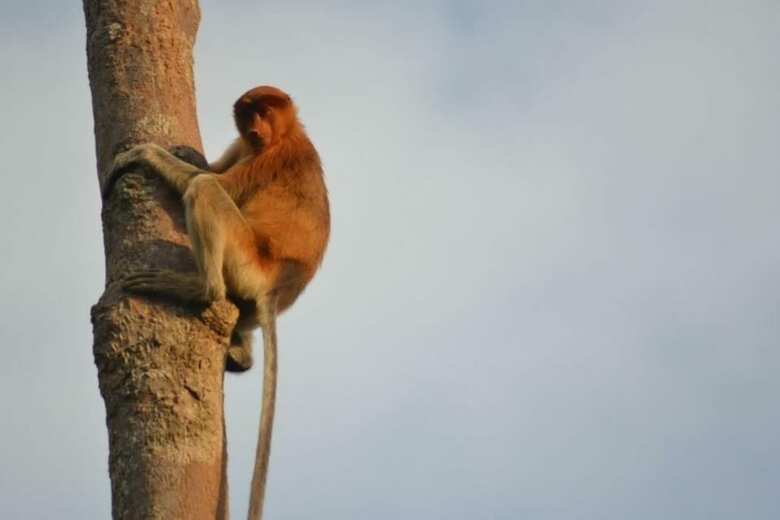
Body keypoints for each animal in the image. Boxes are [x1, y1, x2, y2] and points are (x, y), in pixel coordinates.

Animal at [105, 86, 330, 520]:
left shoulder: (270, 158)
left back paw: (198, 290)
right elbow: (210, 168)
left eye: (266, 111)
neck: (285, 134)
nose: (256, 129)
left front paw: (143, 154)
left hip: (245, 258)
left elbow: (210, 179)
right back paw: (241, 353)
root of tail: (275, 286)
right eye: (249, 113)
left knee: (206, 191)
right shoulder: (246, 146)